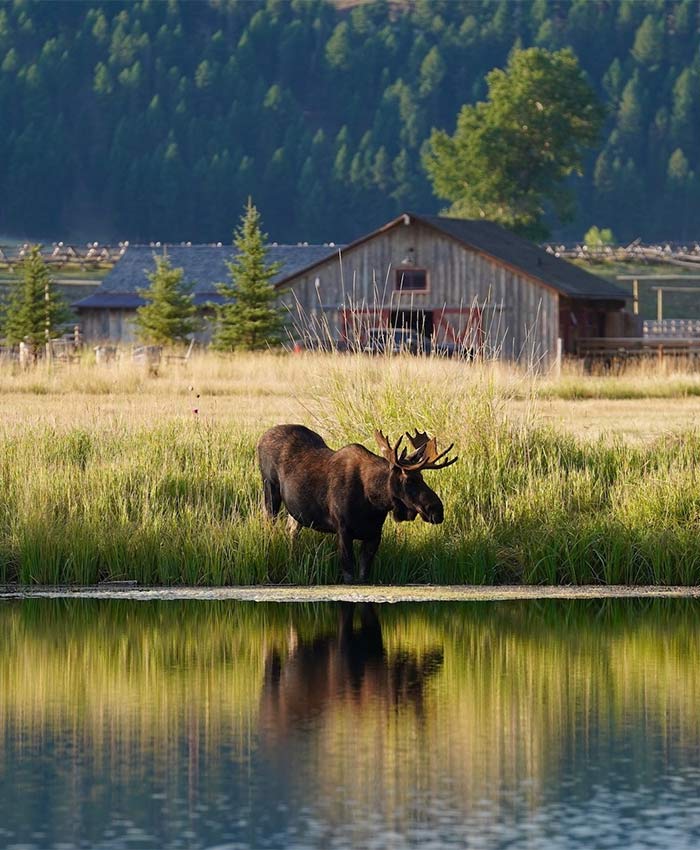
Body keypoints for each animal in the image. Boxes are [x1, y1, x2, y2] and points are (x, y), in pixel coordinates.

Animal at [258, 420, 460, 580]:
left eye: (422, 477)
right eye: (410, 480)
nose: (437, 510)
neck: (373, 501)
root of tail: (261, 438)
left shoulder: (374, 535)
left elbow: (363, 576)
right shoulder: (343, 531)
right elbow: (349, 575)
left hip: (296, 511)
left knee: (291, 530)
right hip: (270, 489)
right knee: (269, 525)